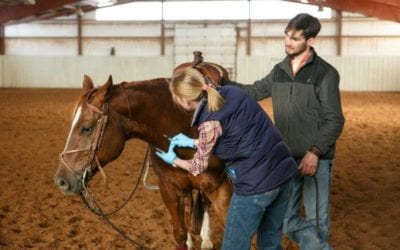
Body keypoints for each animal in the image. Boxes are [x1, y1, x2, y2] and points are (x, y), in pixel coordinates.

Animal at [54, 70, 233, 248]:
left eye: (86, 128)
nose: (61, 180)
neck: (185, 126)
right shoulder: (169, 189)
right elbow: (180, 234)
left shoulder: (222, 190)